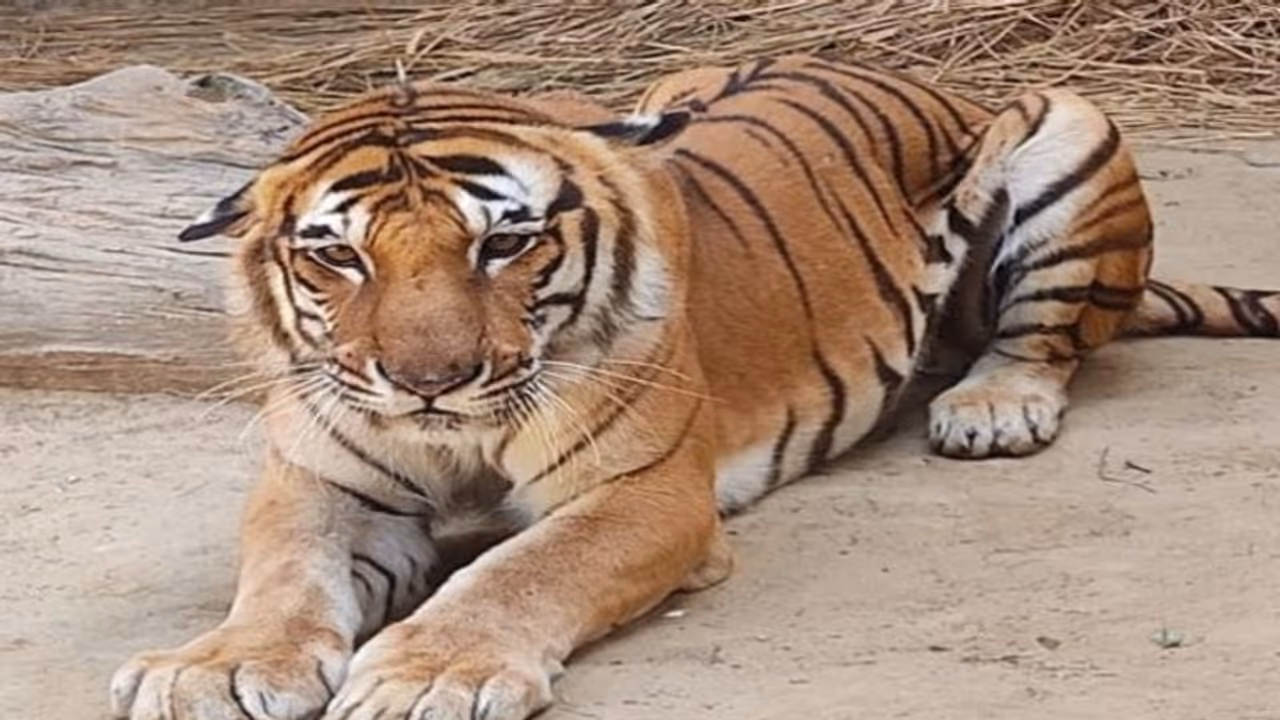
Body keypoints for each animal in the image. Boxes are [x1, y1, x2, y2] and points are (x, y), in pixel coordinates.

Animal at [110, 54, 1279, 720]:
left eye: (504, 244)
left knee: (1044, 341)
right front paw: (216, 667)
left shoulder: (643, 494)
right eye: (337, 258)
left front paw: (429, 673)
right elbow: (281, 575)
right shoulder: (320, 482)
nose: (431, 382)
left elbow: (517, 574)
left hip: (1069, 123)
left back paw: (991, 408)